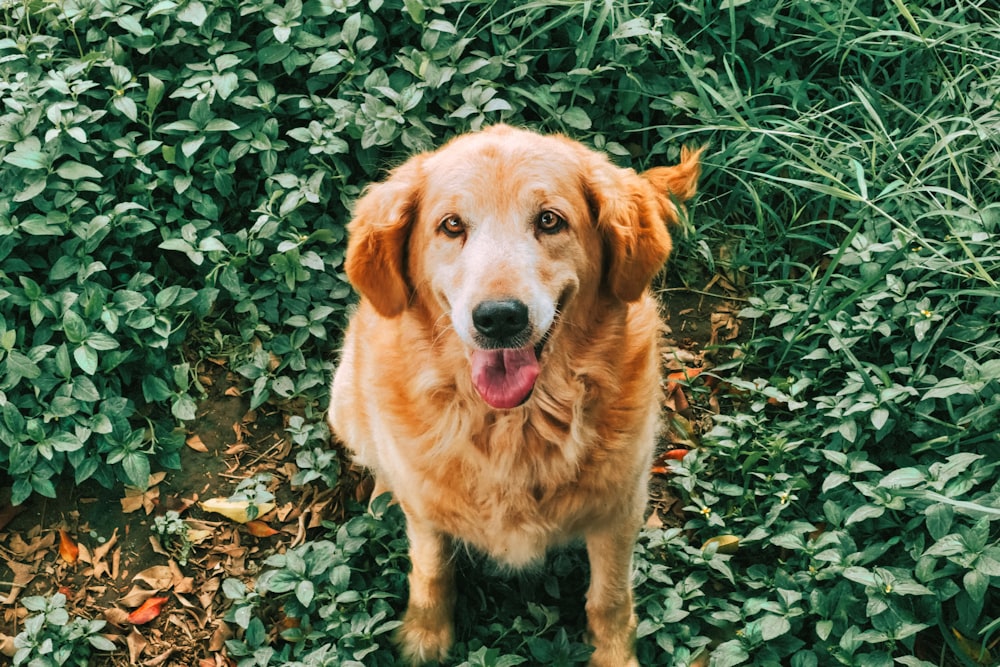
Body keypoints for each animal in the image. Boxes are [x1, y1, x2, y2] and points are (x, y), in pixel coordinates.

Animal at [330, 126, 704, 667]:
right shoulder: (427, 519)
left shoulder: (619, 511)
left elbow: (609, 598)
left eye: (549, 220)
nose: (499, 318)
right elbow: (431, 569)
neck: (514, 425)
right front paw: (425, 636)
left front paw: (614, 655)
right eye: (451, 225)